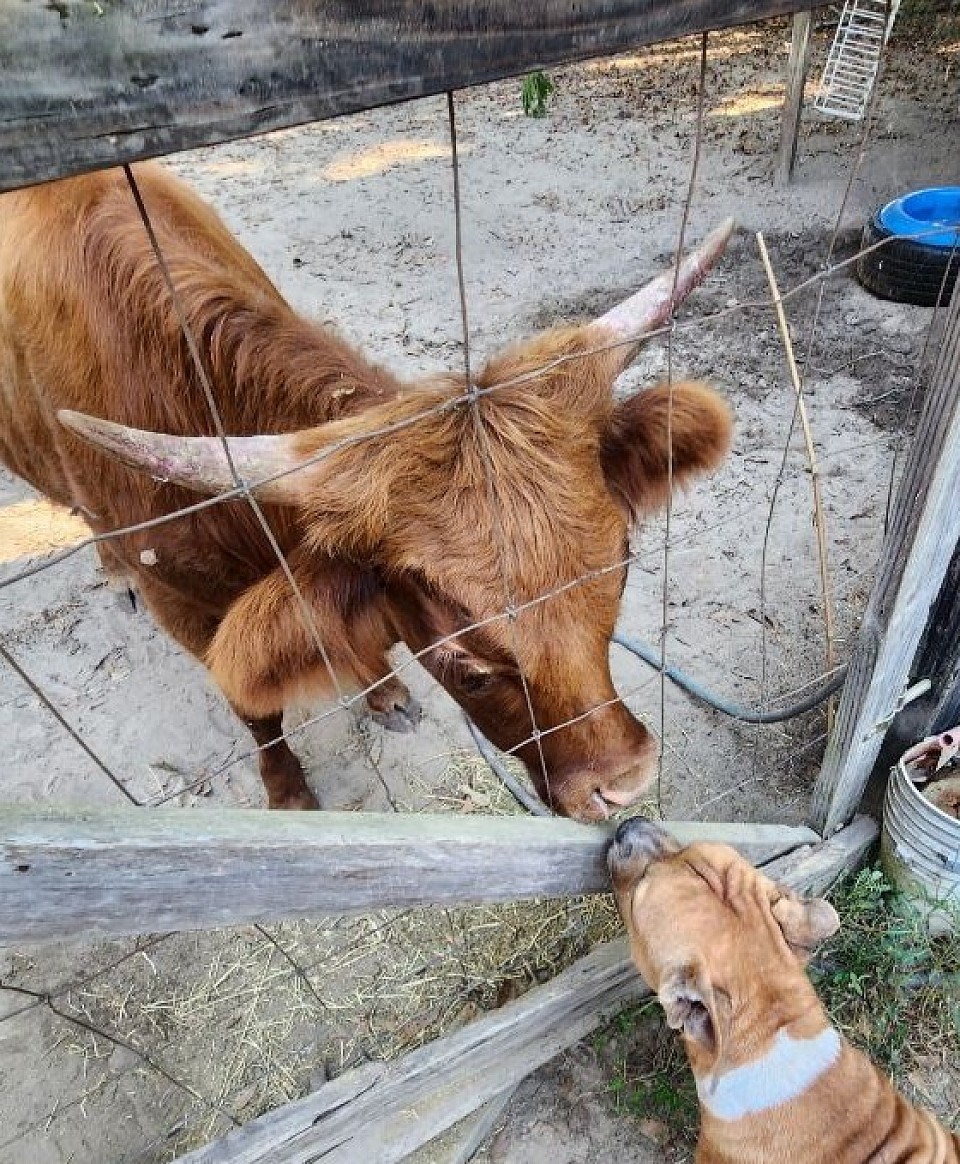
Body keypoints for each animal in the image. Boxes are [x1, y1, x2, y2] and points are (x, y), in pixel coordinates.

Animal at [0, 164, 733, 819]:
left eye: (621, 578)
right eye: (466, 663)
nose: (627, 785)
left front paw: (382, 693)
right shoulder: (184, 608)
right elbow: (257, 712)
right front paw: (288, 792)